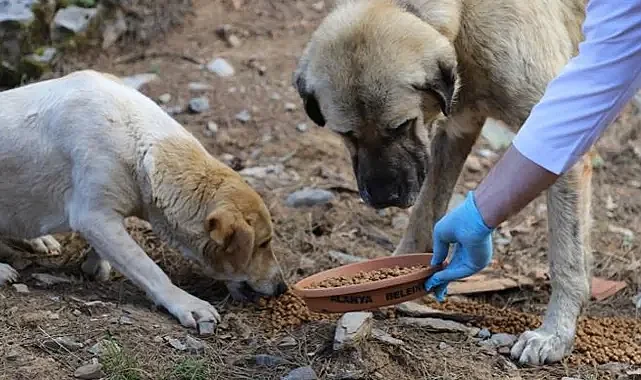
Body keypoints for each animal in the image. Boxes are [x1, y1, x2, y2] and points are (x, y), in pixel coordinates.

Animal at [0, 69, 286, 330]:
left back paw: (40, 240)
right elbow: (149, 269)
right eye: (263, 243)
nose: (282, 288)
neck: (139, 141)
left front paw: (95, 265)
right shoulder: (94, 217)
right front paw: (187, 304)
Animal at [292, 0, 592, 366]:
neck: (464, 16)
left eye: (399, 126)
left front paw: (556, 334)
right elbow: (423, 216)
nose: (383, 198)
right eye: (346, 134)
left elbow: (567, 259)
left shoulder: (559, 140)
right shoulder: (454, 131)